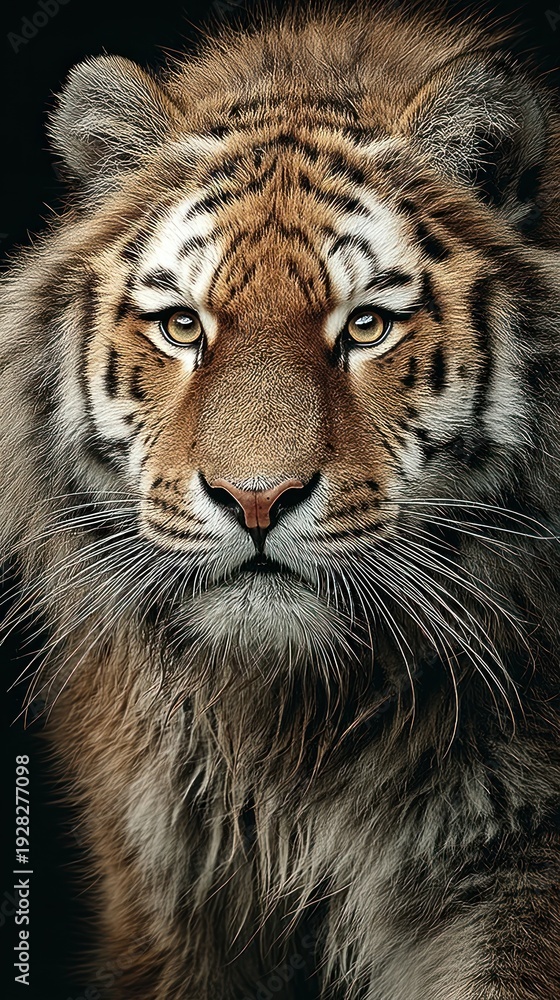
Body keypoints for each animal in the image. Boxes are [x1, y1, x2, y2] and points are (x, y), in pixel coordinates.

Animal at [1, 2, 560, 997]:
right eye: (183, 326)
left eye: (366, 326)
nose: (255, 500)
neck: (298, 724)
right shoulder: (162, 887)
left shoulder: (518, 879)